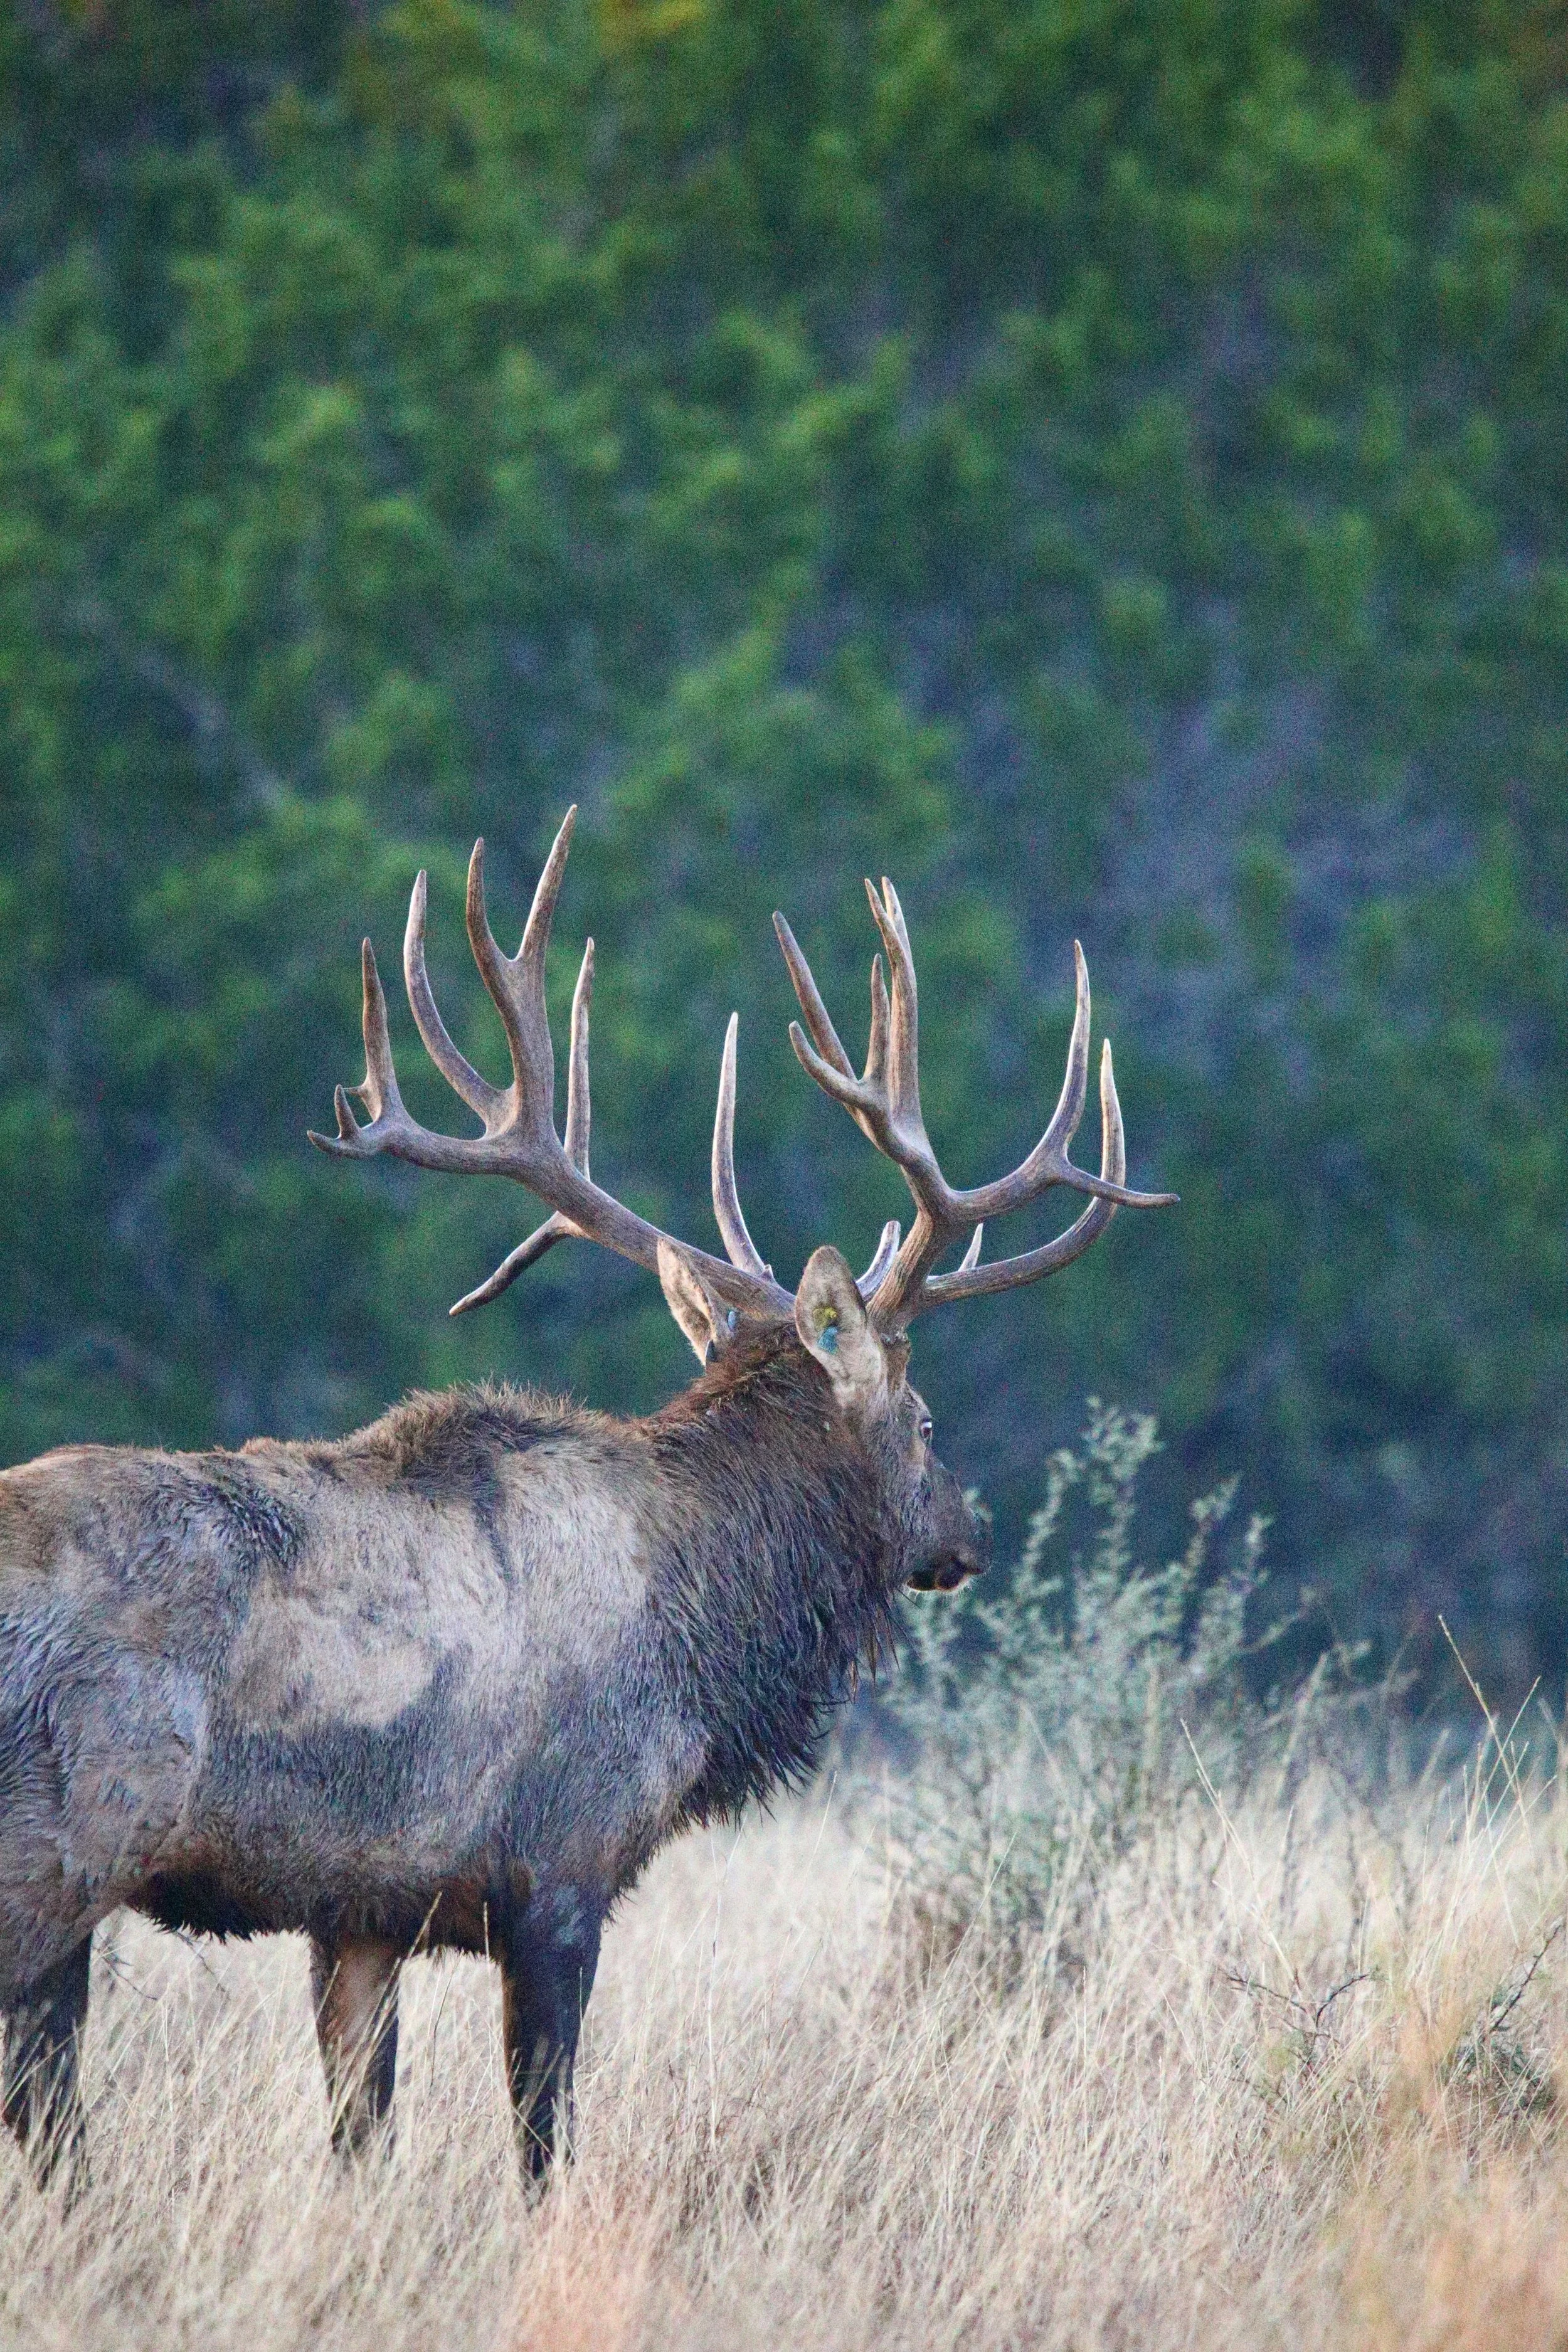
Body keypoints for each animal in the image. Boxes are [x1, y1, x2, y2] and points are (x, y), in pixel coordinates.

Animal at [0, 809, 1174, 2196]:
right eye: (924, 1418)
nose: (970, 1532)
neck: (707, 1622)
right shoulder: (562, 1862)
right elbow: (543, 2136)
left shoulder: (363, 1905)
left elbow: (359, 2135)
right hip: (63, 1842)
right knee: (51, 2113)